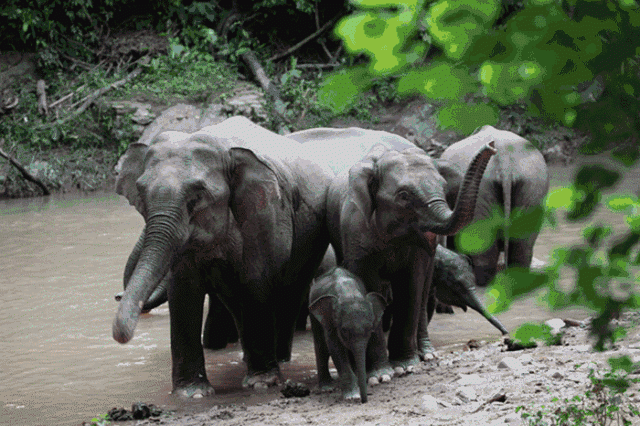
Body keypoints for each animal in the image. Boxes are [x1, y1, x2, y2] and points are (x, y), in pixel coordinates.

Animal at [112, 115, 332, 396]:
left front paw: (262, 383)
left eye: (197, 197)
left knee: (289, 295)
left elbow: (256, 280)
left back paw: (279, 361)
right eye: (140, 193)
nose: (117, 297)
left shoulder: (265, 214)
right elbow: (183, 289)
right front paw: (191, 393)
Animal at [288, 128, 498, 374]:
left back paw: (426, 354)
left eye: (444, 188)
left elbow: (412, 283)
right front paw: (379, 373)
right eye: (404, 196)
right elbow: (368, 282)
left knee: (424, 290)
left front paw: (405, 365)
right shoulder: (355, 229)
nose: (492, 146)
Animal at [308, 266, 388, 402]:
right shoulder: (331, 321)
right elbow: (335, 347)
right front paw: (352, 396)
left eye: (370, 329)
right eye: (344, 330)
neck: (349, 293)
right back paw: (326, 388)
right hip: (313, 314)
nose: (364, 401)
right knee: (321, 347)